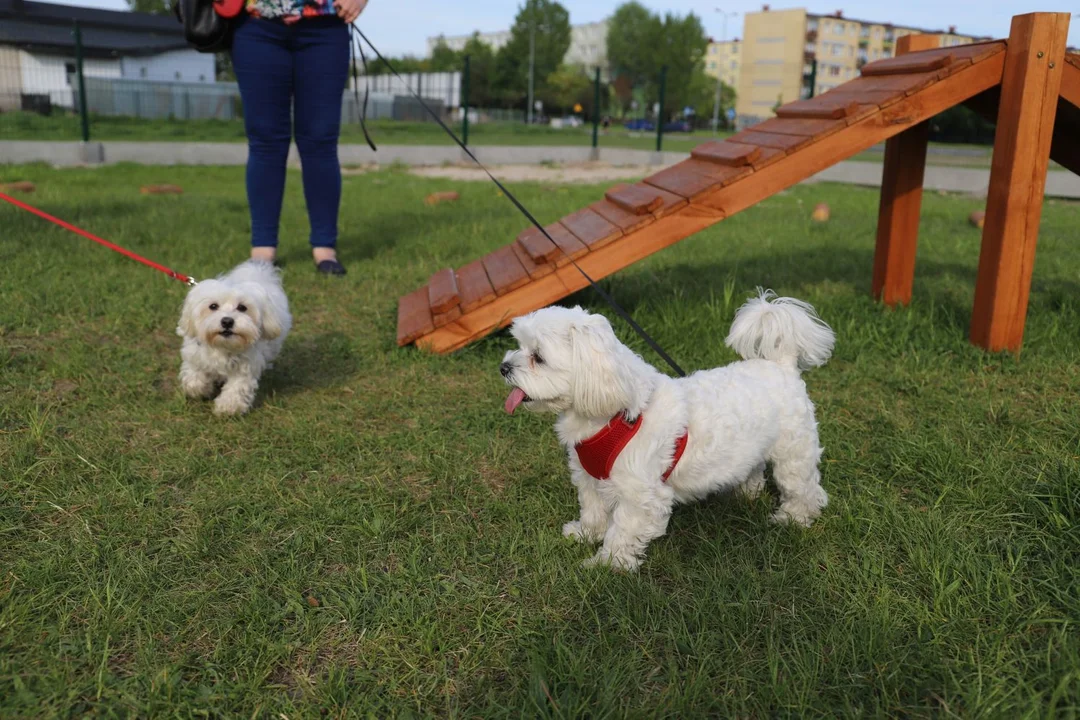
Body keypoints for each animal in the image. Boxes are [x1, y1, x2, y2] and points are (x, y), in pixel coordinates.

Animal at [178, 260, 293, 416]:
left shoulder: (245, 367)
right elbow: (194, 378)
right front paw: (202, 390)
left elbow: (237, 387)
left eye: (242, 307)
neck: (223, 346)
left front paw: (228, 407)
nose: (227, 321)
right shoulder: (194, 354)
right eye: (213, 306)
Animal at [498, 289, 833, 569]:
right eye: (519, 346)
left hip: (794, 454)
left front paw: (606, 565)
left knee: (805, 489)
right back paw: (745, 493)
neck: (614, 415)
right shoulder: (589, 477)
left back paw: (794, 517)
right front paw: (584, 534)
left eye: (538, 357)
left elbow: (621, 531)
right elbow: (592, 511)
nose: (503, 367)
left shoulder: (640, 495)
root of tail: (782, 365)